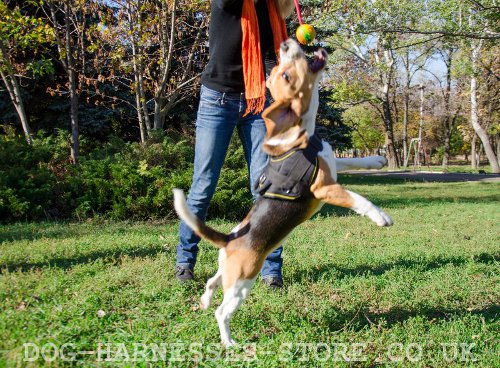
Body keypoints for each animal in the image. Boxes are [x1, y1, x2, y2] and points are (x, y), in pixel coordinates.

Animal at [174, 38, 392, 346]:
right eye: (286, 75)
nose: (286, 43)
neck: (301, 136)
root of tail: (230, 239)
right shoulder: (325, 188)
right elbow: (358, 199)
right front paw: (381, 217)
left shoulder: (331, 163)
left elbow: (354, 161)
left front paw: (377, 160)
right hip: (243, 282)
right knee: (222, 311)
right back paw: (229, 342)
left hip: (227, 272)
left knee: (211, 282)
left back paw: (204, 301)